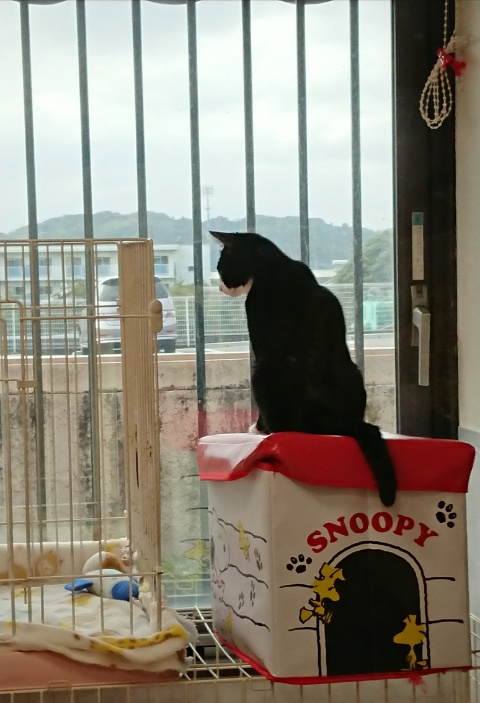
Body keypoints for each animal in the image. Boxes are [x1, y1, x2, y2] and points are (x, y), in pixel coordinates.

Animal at [211, 230, 397, 507]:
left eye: (221, 267)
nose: (220, 286)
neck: (276, 266)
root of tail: (323, 419)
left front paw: (257, 427)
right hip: (352, 370)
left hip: (261, 373)